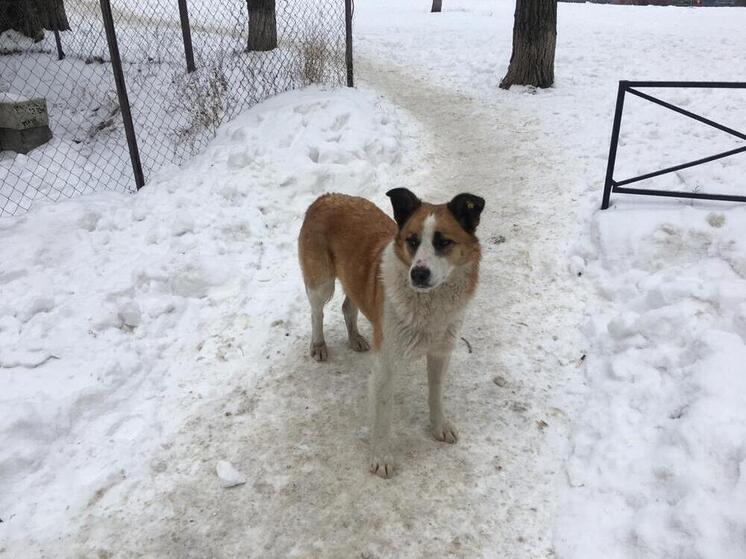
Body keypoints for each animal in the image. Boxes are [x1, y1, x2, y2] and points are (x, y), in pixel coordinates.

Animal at [296, 188, 482, 476]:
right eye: (412, 241)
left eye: (443, 242)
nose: (418, 273)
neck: (428, 304)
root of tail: (327, 197)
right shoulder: (386, 365)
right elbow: (383, 417)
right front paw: (382, 458)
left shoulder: (441, 353)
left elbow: (436, 395)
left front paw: (439, 426)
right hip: (321, 282)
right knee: (317, 312)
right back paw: (318, 345)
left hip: (354, 281)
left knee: (348, 306)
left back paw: (355, 338)